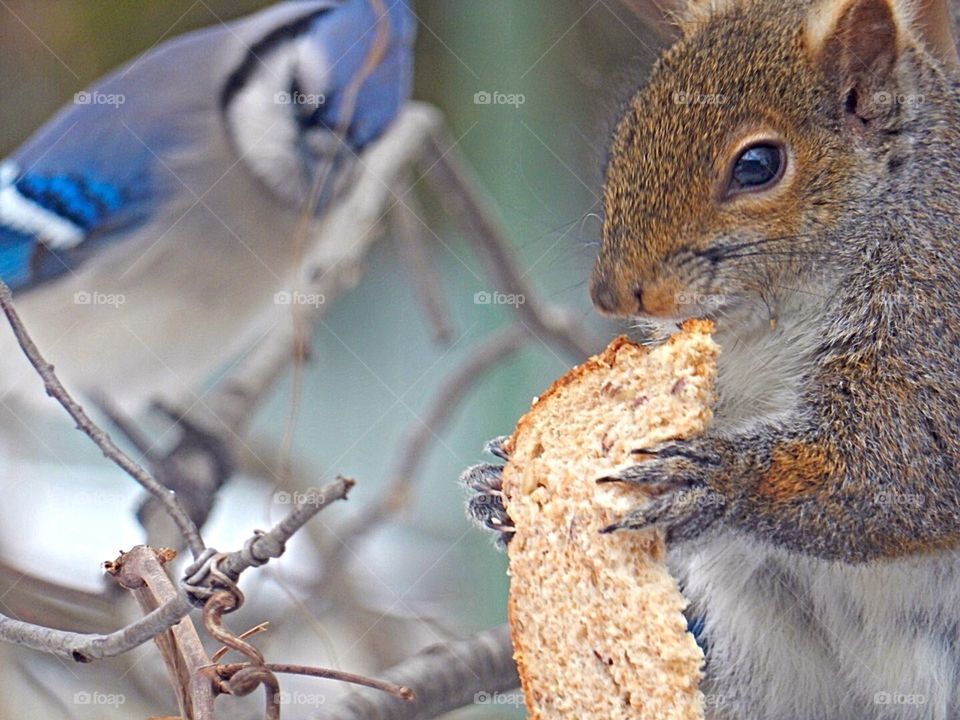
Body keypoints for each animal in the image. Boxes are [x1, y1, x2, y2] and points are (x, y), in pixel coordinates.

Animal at [464, 0, 960, 716]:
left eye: (757, 164)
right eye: (629, 131)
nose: (611, 294)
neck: (771, 314)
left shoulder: (934, 323)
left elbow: (902, 467)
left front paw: (717, 480)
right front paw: (497, 489)